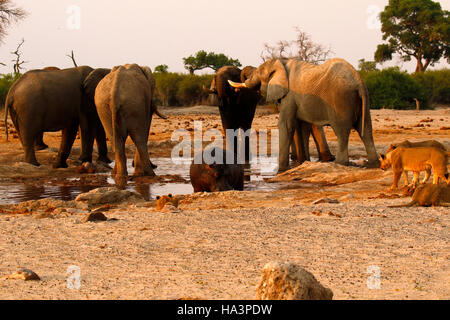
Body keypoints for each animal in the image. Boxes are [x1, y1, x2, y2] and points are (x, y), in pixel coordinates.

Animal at [229, 57, 380, 172]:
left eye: (258, 73)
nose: (236, 91)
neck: (281, 61)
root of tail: (359, 82)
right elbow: (302, 126)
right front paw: (302, 163)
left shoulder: (290, 95)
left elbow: (285, 125)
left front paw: (282, 170)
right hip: (363, 101)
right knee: (366, 130)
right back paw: (373, 164)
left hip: (341, 100)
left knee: (342, 132)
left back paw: (339, 163)